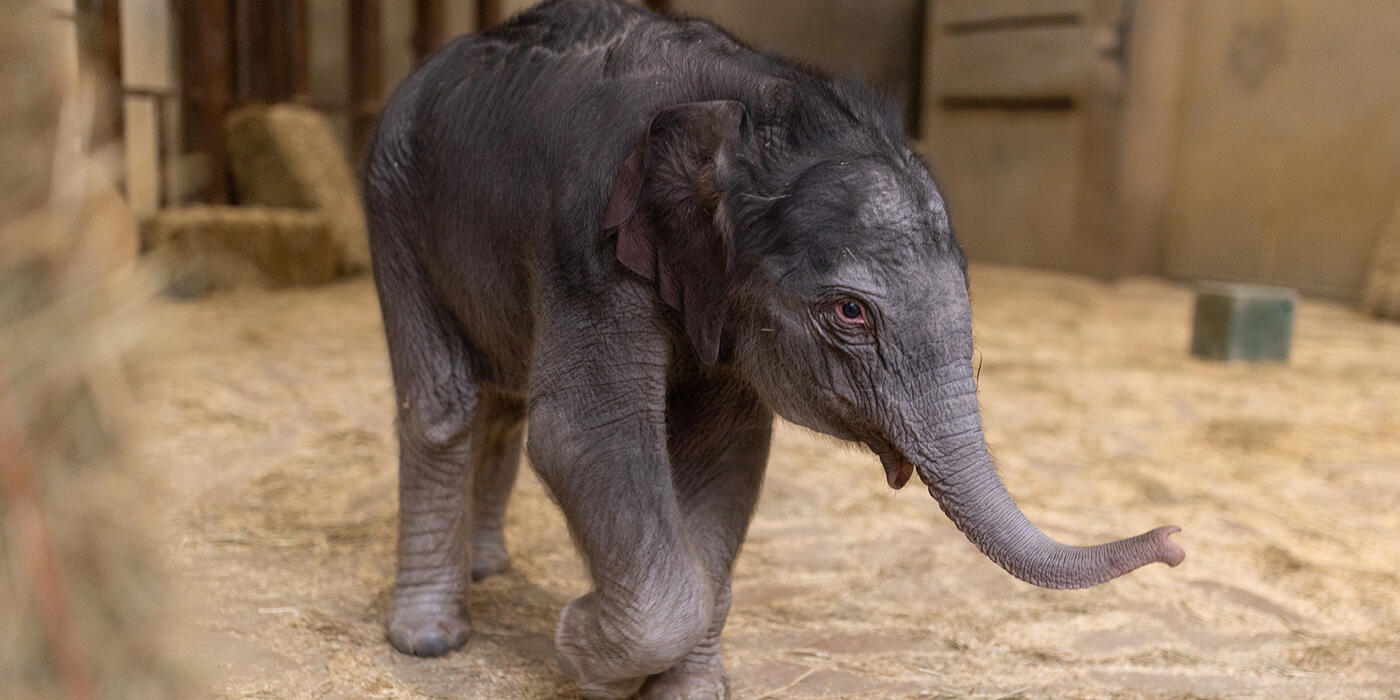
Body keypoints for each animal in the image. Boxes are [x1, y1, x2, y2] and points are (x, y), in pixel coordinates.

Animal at [363, 0, 1185, 697]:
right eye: (850, 312)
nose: (1177, 540)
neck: (752, 106)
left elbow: (724, 453)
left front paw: (684, 690)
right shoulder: (587, 246)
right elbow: (584, 438)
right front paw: (581, 649)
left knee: (503, 399)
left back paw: (489, 567)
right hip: (393, 204)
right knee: (445, 405)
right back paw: (430, 637)